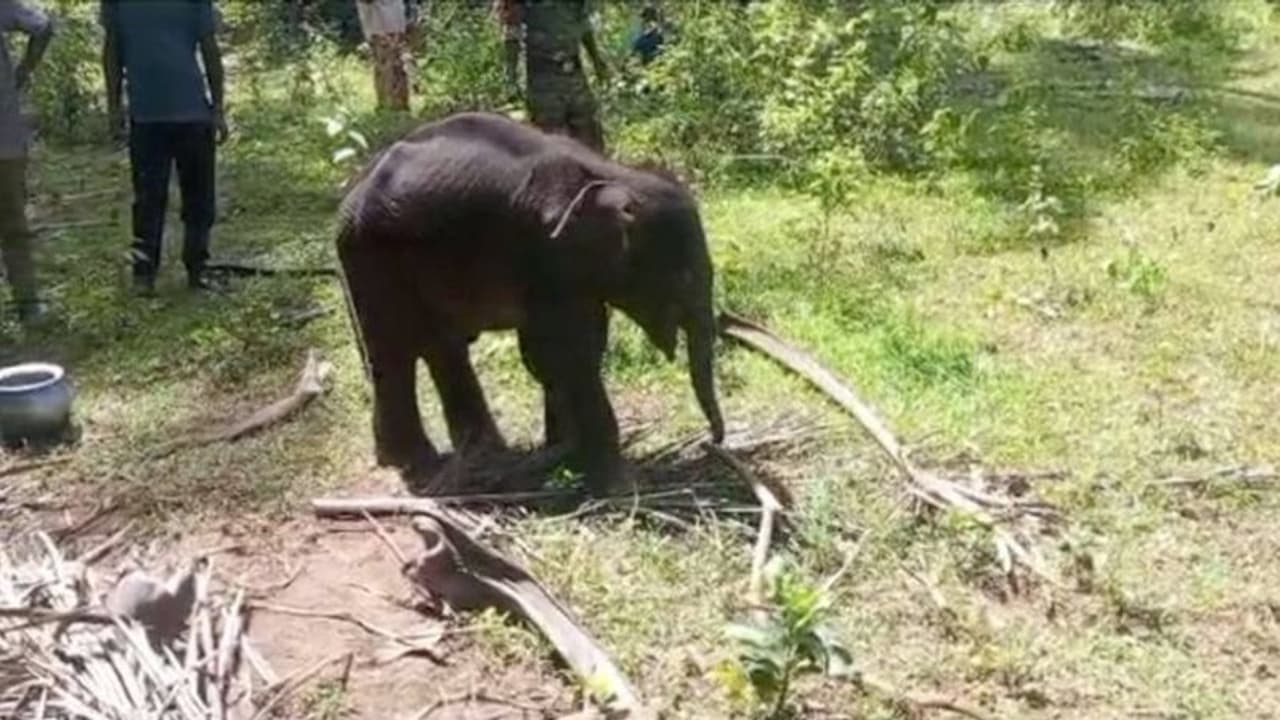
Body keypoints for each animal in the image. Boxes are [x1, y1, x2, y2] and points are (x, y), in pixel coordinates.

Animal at [336, 111, 725, 495]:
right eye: (683, 276)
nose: (714, 441)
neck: (612, 174)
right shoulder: (542, 254)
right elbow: (565, 353)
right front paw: (617, 486)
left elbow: (564, 352)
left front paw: (565, 457)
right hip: (369, 259)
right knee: (393, 351)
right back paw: (413, 461)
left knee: (442, 347)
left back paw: (485, 454)